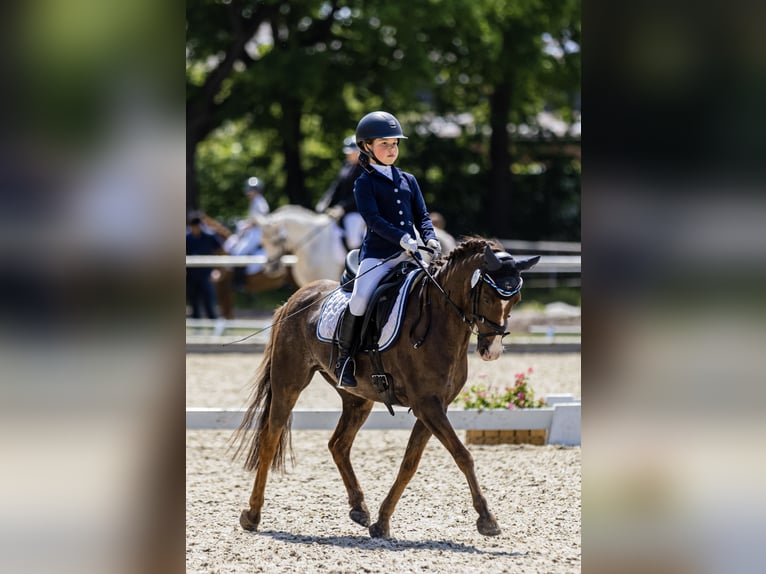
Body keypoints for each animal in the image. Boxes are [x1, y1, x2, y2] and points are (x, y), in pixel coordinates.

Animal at [234, 238, 540, 540]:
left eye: (516, 299)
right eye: (487, 297)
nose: (492, 351)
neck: (440, 322)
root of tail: (295, 299)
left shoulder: (433, 407)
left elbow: (409, 464)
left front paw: (382, 523)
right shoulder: (428, 406)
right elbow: (463, 455)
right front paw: (487, 519)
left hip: (357, 398)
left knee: (338, 444)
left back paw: (359, 508)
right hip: (289, 383)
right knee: (270, 439)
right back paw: (252, 515)